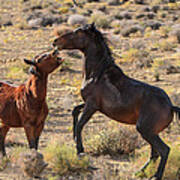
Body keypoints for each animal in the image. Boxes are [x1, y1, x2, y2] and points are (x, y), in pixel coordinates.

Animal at [52, 23, 180, 180]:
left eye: (77, 32)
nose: (55, 41)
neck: (96, 74)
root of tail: (171, 106)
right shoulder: (92, 104)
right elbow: (75, 111)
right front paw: (75, 140)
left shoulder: (91, 105)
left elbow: (80, 125)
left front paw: (80, 151)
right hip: (151, 132)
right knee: (155, 153)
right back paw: (139, 172)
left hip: (145, 130)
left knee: (164, 150)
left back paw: (156, 175)